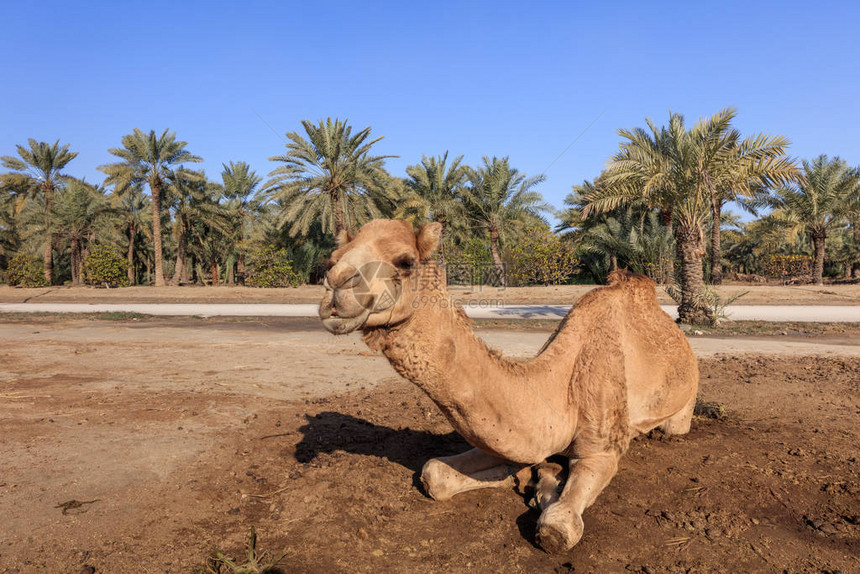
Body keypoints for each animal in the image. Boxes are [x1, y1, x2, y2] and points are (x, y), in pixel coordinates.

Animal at [316, 219, 700, 552]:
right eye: (331, 260)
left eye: (406, 261)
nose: (336, 284)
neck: (558, 389)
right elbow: (434, 473)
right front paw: (526, 477)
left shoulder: (602, 449)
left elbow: (557, 526)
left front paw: (545, 489)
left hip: (683, 407)